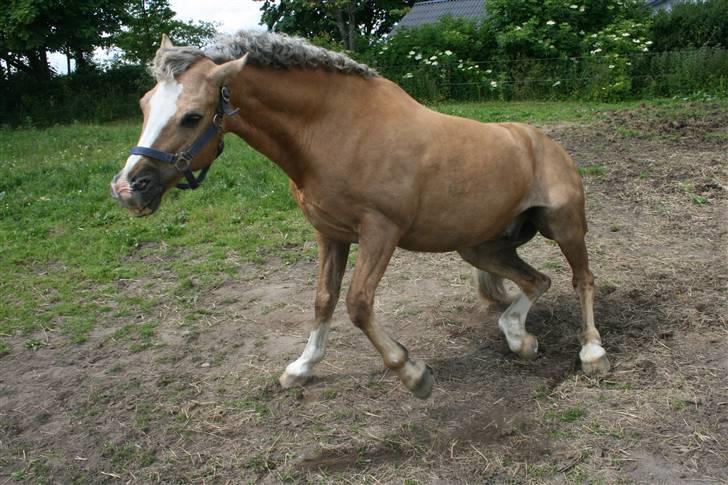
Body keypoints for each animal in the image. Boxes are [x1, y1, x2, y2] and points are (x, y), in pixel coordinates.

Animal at [110, 32, 610, 399]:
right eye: (143, 105)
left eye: (193, 116)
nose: (128, 189)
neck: (335, 129)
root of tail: (544, 143)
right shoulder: (329, 235)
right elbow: (323, 300)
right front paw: (301, 368)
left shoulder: (379, 233)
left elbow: (357, 304)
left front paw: (413, 373)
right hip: (479, 248)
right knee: (536, 282)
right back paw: (519, 338)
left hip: (565, 227)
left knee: (581, 279)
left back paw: (592, 353)